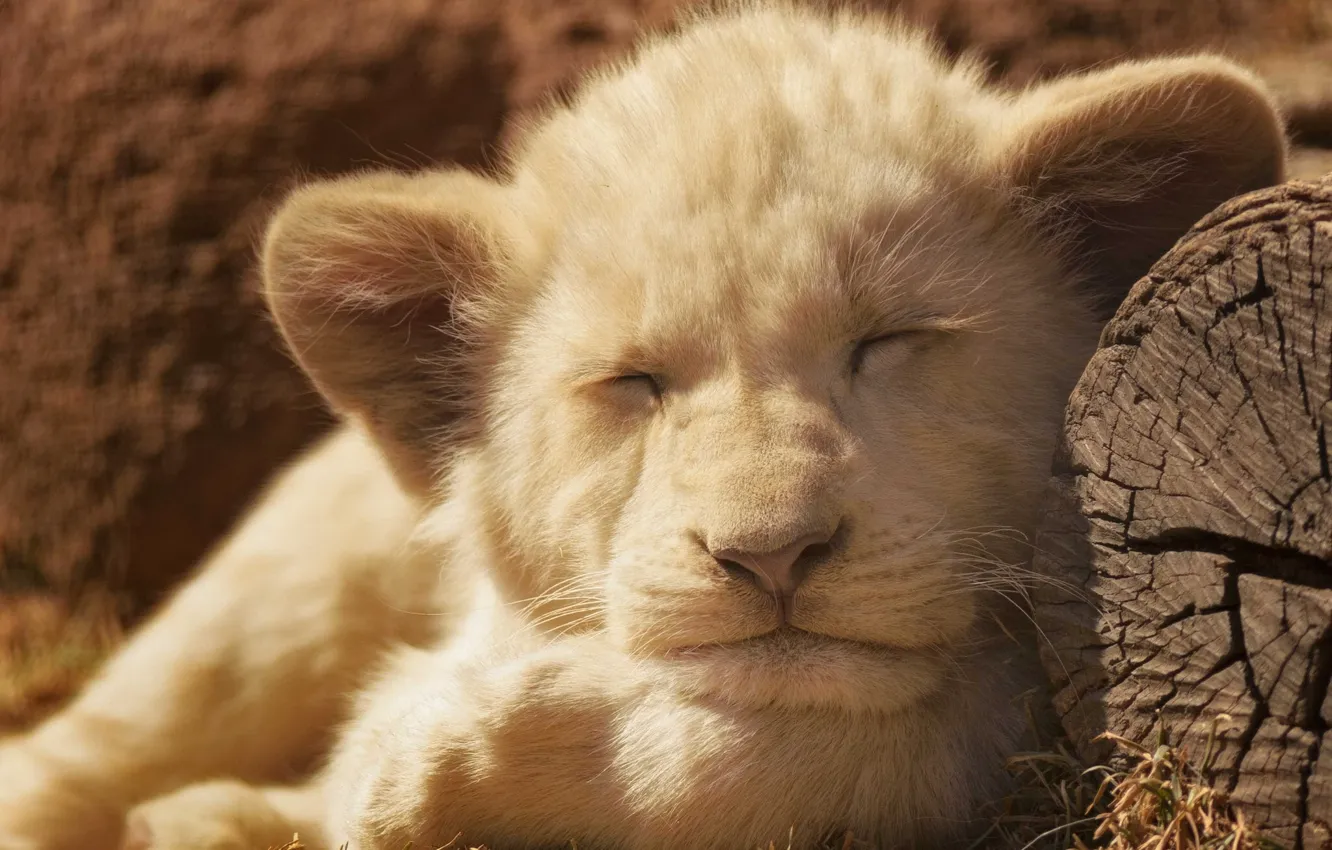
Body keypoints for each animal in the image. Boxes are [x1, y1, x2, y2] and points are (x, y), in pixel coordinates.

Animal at [0, 3, 1286, 849]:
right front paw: (397, 760)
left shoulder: (1025, 703)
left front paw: (429, 758)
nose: (770, 554)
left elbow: (887, 731)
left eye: (890, 340)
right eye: (634, 382)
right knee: (84, 748)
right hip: (280, 596)